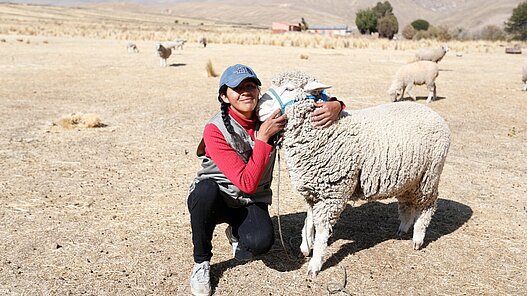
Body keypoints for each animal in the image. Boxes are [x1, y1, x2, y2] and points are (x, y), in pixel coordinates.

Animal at [256, 70, 450, 276]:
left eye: (289, 88)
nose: (258, 108)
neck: (324, 132)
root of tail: (435, 115)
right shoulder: (313, 189)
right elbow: (309, 219)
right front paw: (305, 246)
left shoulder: (333, 193)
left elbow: (322, 230)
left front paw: (315, 264)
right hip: (408, 178)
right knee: (407, 203)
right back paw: (403, 229)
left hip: (429, 176)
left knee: (427, 206)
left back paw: (418, 238)